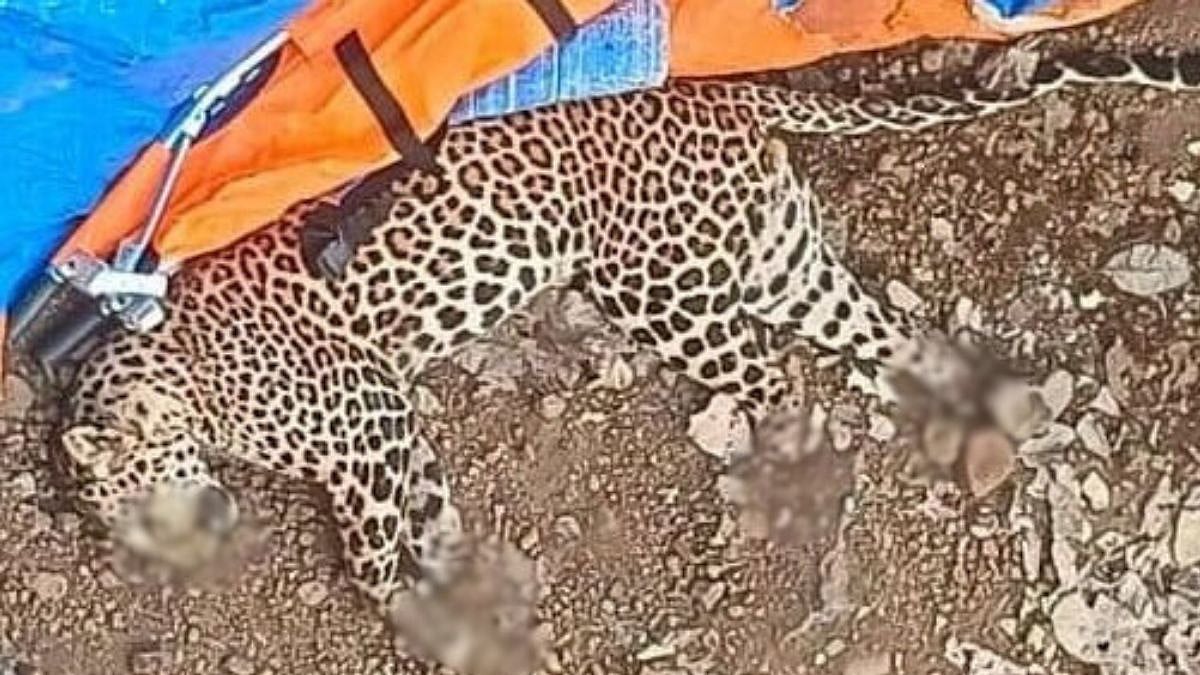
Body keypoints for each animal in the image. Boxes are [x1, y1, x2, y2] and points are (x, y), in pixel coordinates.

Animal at [52, 49, 1200, 648]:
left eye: (138, 504)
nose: (169, 556)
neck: (172, 371)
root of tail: (724, 90)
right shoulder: (398, 431)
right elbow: (434, 518)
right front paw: (460, 598)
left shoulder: (367, 425)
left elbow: (373, 555)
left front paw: (402, 607)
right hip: (780, 262)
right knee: (880, 345)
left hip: (662, 293)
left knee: (781, 385)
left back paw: (768, 518)